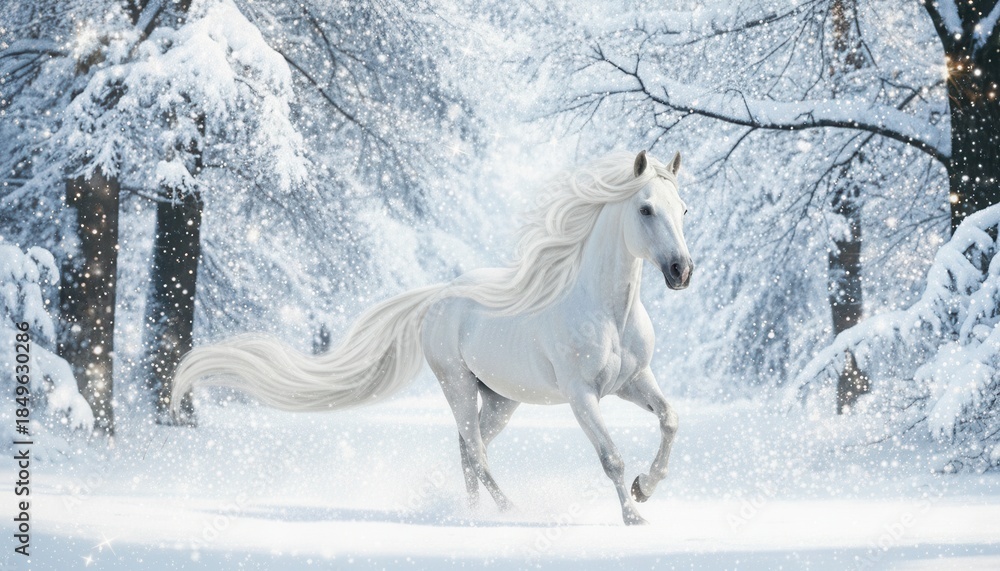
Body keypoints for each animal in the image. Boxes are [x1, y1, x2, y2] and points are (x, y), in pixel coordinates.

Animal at [171, 150, 694, 525]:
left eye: (684, 209)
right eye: (646, 209)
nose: (681, 271)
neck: (607, 311)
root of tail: (440, 296)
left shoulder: (633, 381)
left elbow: (670, 419)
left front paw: (645, 488)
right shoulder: (581, 394)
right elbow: (611, 457)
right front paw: (633, 516)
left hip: (501, 399)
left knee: (468, 449)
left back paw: (474, 512)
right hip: (457, 384)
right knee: (475, 451)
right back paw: (504, 511)